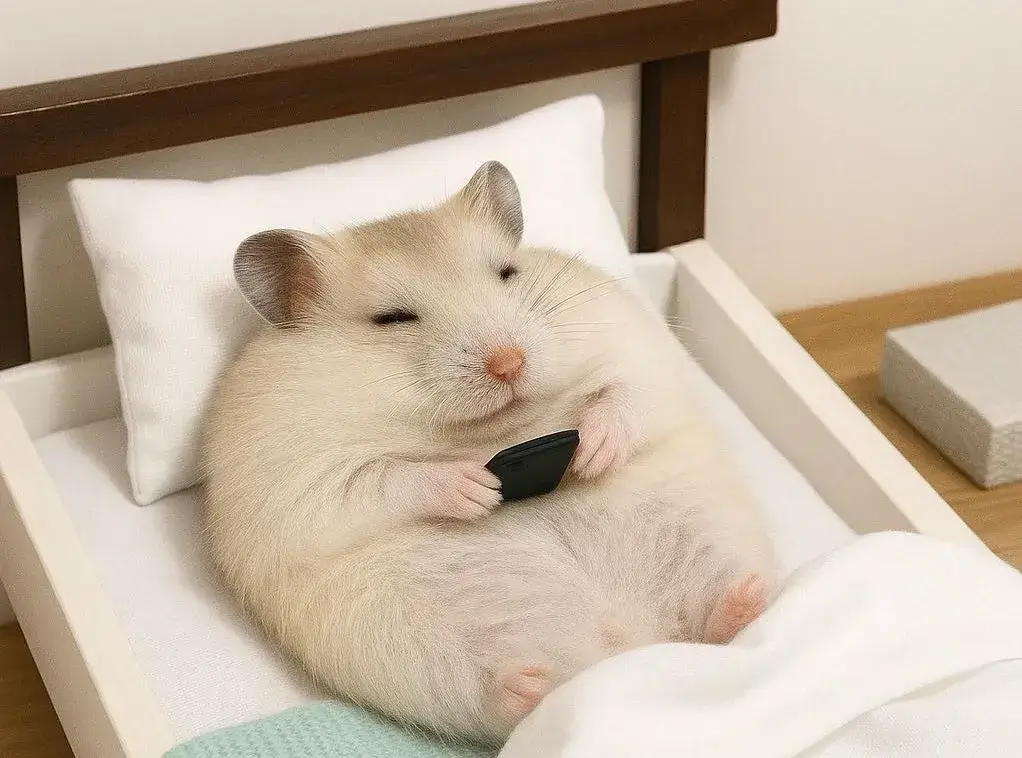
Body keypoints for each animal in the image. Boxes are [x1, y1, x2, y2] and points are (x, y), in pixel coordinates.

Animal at [200, 161, 776, 746]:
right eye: (393, 319)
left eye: (506, 272)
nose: (508, 362)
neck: (497, 430)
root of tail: (628, 644)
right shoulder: (301, 479)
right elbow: (384, 479)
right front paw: (478, 489)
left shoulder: (637, 351)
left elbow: (627, 395)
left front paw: (592, 453)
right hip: (403, 639)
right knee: (492, 695)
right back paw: (527, 686)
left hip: (709, 530)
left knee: (718, 620)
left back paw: (746, 599)